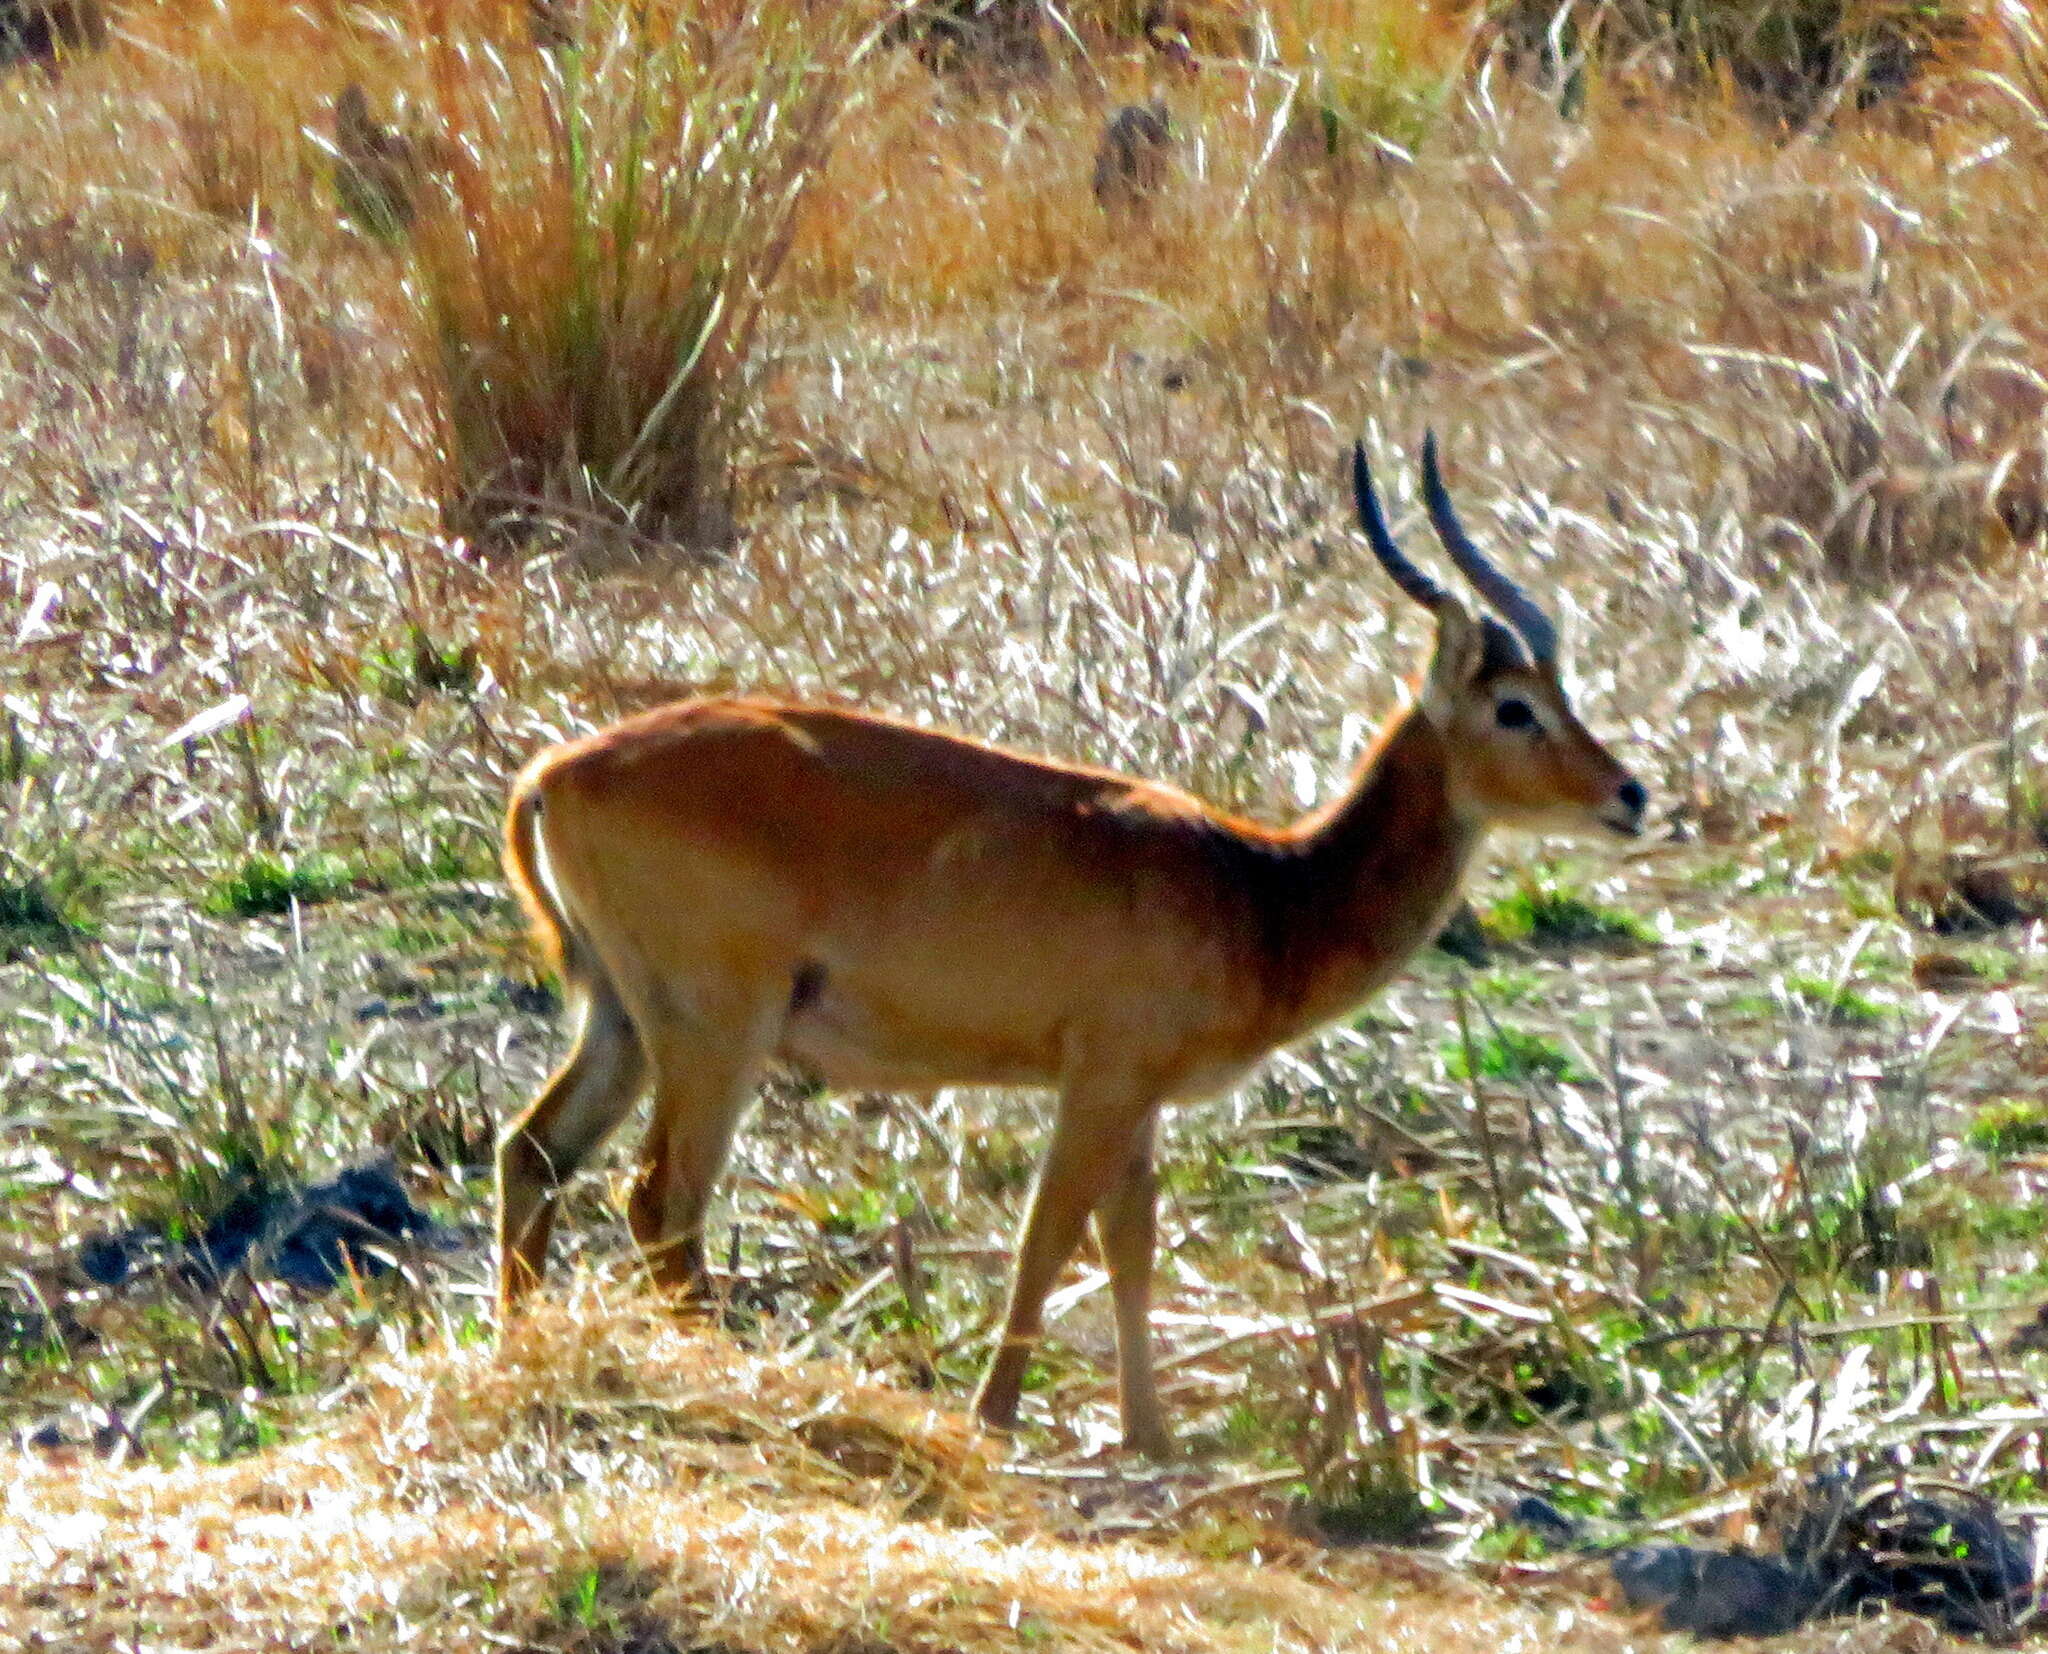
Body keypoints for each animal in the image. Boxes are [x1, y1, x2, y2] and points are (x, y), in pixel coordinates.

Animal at [495, 431, 1646, 1457]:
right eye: (1515, 706)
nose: (1629, 794)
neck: (1263, 887)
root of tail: (556, 771)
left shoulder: (1137, 1100)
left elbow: (1129, 1245)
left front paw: (1149, 1436)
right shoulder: (1101, 1081)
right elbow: (1048, 1237)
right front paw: (997, 1417)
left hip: (620, 1020)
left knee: (533, 1153)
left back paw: (520, 1347)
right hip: (714, 1035)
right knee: (660, 1203)